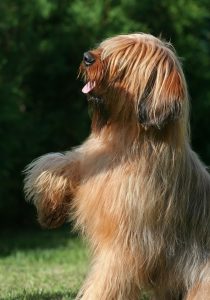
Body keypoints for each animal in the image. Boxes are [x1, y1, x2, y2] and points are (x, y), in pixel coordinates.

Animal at [23, 33, 210, 300]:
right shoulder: (89, 160)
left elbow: (107, 279)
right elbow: (53, 163)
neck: (126, 140)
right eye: (106, 48)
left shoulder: (128, 242)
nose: (87, 57)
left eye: (123, 60)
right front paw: (50, 210)